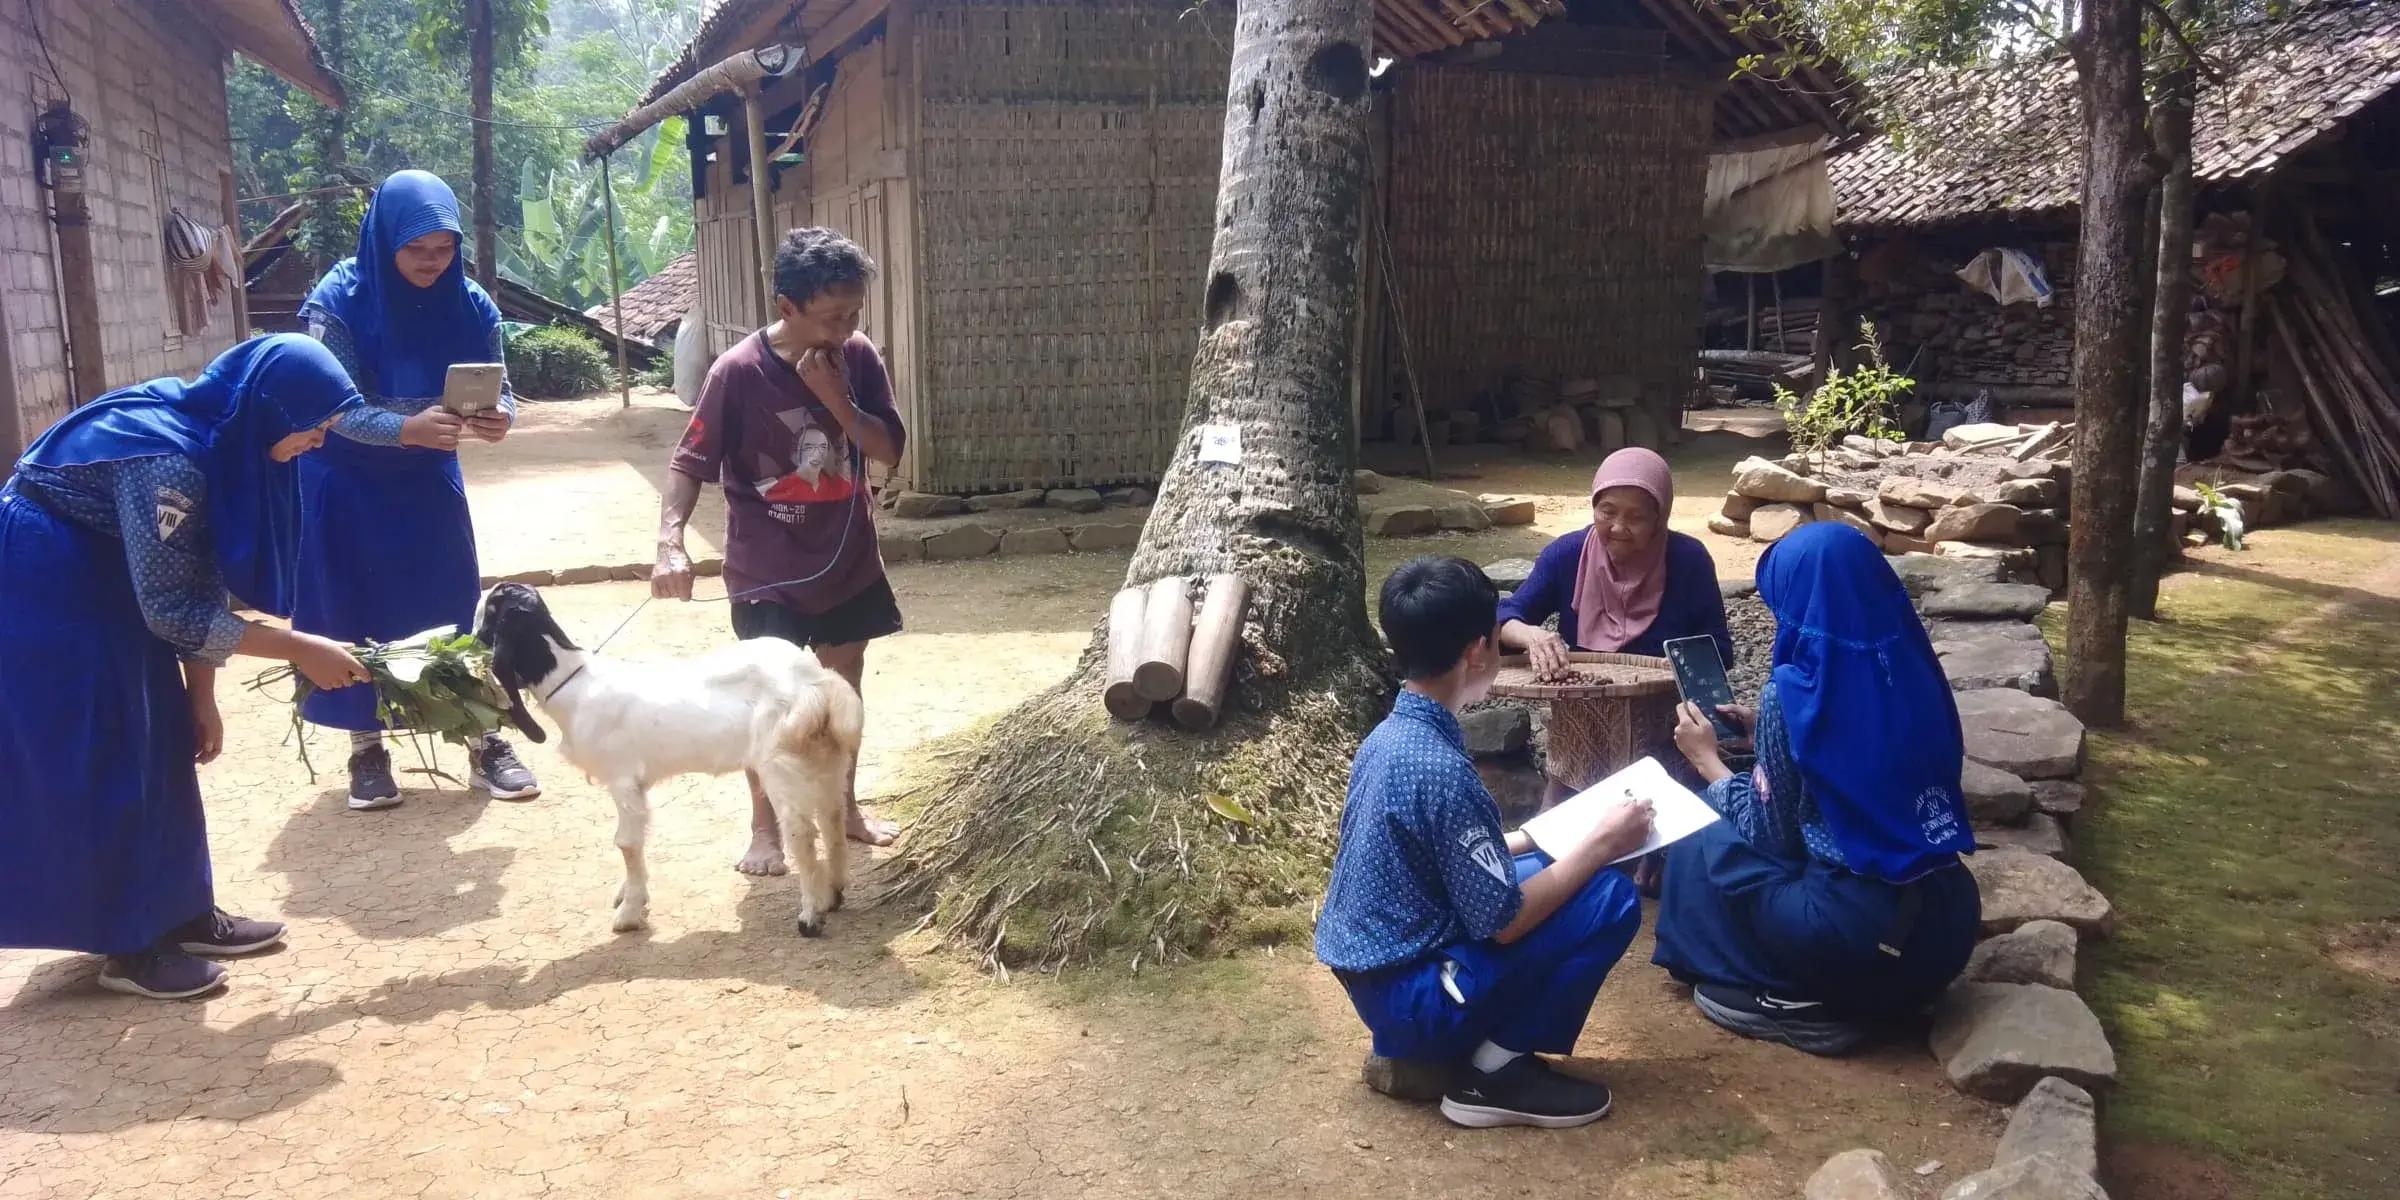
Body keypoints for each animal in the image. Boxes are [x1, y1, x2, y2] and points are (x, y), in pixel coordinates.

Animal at [470, 580, 864, 936]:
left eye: (490, 614)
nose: (471, 644)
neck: (575, 687)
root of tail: (818, 685)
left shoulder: (623, 780)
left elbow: (626, 842)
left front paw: (628, 914)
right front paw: (628, 895)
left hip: (781, 764)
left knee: (802, 831)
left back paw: (810, 917)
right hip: (824, 759)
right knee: (832, 818)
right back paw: (833, 894)